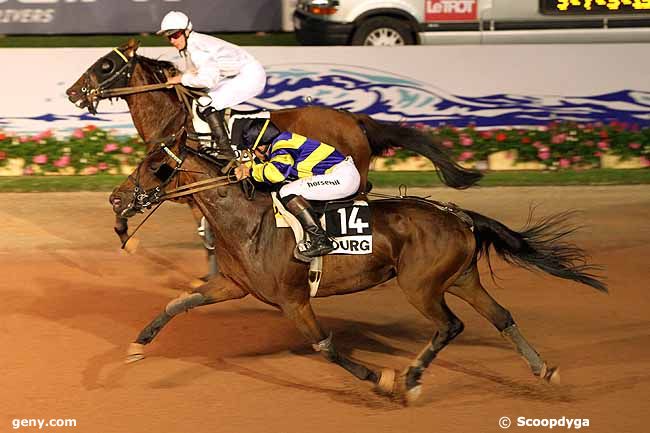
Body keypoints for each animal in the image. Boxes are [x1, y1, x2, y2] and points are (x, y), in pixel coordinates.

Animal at [109, 138, 604, 402]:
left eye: (156, 167)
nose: (117, 198)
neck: (249, 222)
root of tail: (459, 216)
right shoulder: (232, 285)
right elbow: (178, 303)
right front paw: (137, 345)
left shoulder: (292, 299)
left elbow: (325, 346)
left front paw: (380, 379)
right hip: (462, 279)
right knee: (501, 317)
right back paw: (543, 370)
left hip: (420, 286)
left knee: (451, 325)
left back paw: (411, 378)